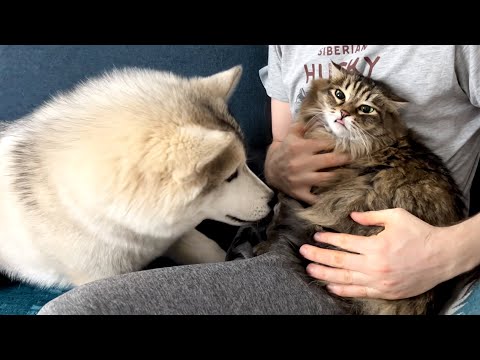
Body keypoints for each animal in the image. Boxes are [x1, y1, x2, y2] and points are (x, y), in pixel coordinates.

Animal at [255, 62, 476, 316]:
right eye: (339, 94)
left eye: (365, 109)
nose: (343, 113)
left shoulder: (310, 197)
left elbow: (279, 219)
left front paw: (263, 244)